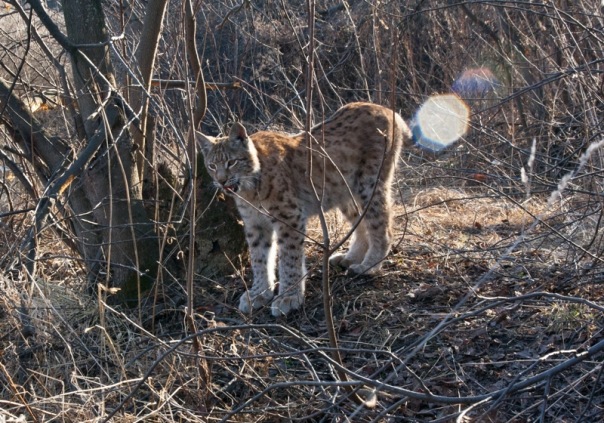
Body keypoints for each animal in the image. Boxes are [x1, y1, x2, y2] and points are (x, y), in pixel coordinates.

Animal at [196, 102, 412, 314]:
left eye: (231, 162)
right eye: (212, 166)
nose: (221, 181)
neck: (249, 188)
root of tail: (385, 109)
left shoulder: (289, 217)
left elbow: (289, 257)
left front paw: (289, 297)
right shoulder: (254, 223)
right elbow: (259, 258)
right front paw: (259, 293)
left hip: (369, 184)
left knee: (382, 224)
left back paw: (369, 266)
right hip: (342, 189)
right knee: (360, 221)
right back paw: (351, 258)